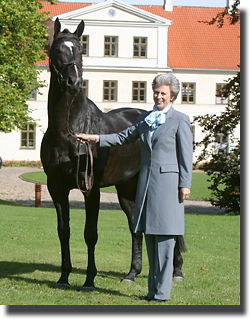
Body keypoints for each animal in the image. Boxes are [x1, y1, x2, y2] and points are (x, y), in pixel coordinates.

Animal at [41, 18, 186, 292]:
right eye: (57, 50)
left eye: (79, 49)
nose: (73, 82)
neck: (68, 130)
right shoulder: (56, 188)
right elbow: (63, 231)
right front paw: (64, 278)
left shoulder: (90, 188)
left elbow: (90, 233)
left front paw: (89, 280)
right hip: (128, 191)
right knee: (135, 228)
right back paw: (132, 273)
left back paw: (177, 272)